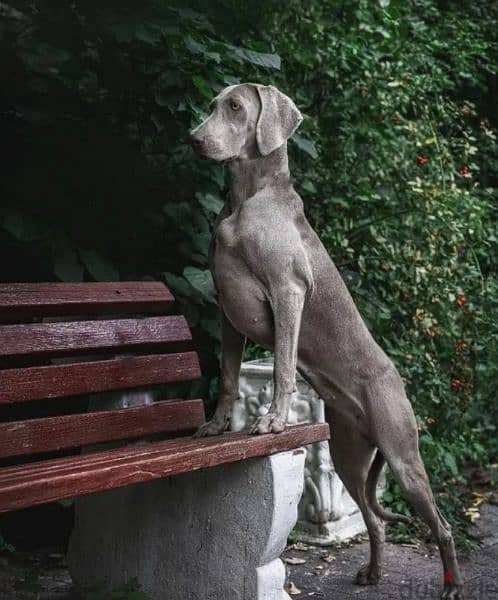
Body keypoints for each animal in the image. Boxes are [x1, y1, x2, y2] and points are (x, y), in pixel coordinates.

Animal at [189, 82, 464, 596]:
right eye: (213, 105)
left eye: (235, 107)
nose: (195, 139)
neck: (247, 200)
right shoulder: (227, 311)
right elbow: (230, 376)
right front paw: (217, 426)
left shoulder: (288, 293)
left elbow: (281, 366)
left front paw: (273, 422)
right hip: (348, 455)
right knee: (374, 520)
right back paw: (373, 573)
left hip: (403, 456)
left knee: (440, 523)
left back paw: (452, 584)